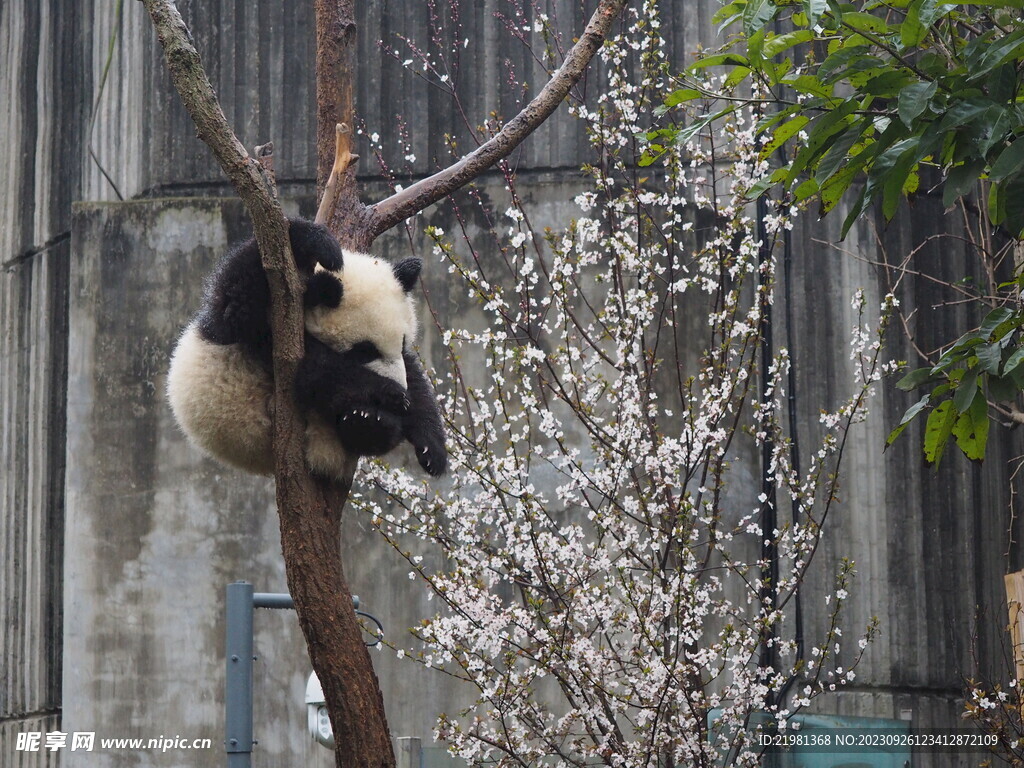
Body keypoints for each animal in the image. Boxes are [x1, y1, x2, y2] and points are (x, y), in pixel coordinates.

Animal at [167, 218, 448, 481]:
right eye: (365, 351)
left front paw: (431, 450)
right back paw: (368, 419)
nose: (400, 387)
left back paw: (369, 422)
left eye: (402, 343)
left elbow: (415, 377)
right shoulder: (255, 331)